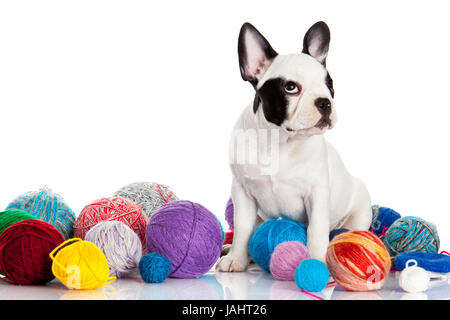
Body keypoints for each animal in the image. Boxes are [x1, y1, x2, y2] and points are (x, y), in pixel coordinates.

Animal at [217, 21, 372, 272]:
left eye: (330, 85)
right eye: (291, 87)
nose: (325, 102)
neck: (279, 141)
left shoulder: (316, 193)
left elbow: (316, 229)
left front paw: (317, 261)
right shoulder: (242, 191)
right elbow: (241, 227)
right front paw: (236, 258)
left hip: (360, 209)